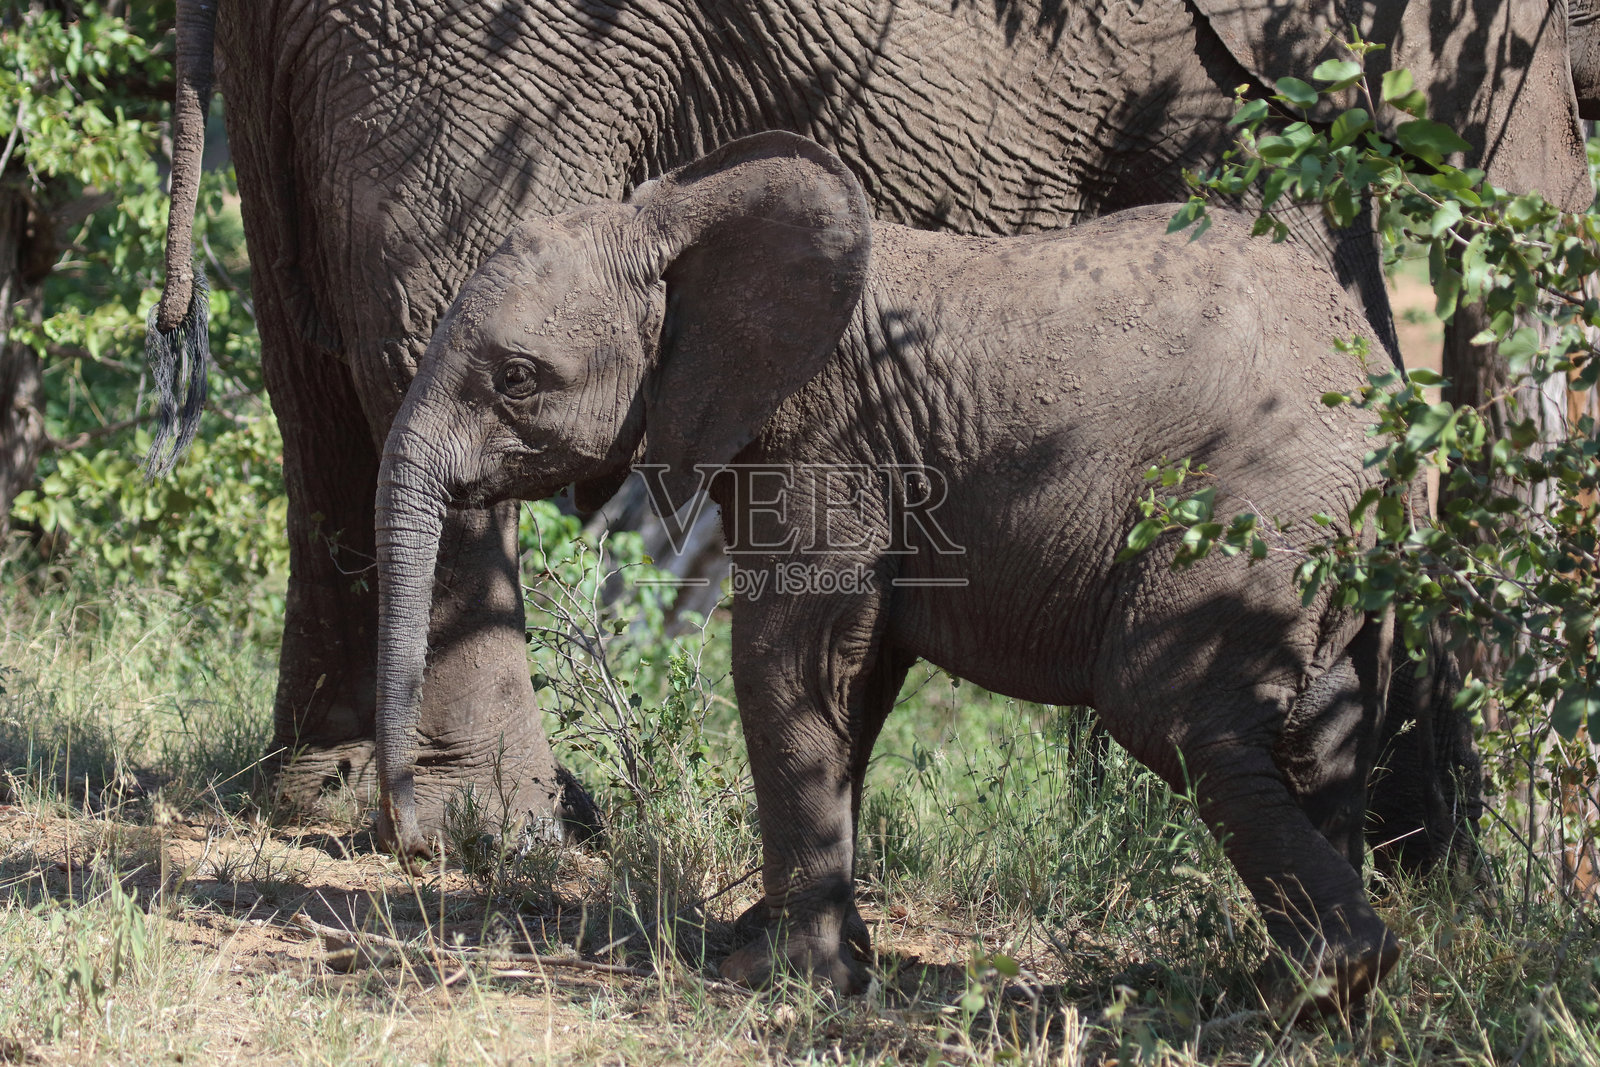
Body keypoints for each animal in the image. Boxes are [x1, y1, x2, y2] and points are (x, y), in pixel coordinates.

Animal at [149, 0, 1589, 842]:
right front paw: (1416, 838)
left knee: (312, 359)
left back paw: (334, 794)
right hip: (472, 46)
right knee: (403, 317)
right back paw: (496, 828)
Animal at [372, 130, 1443, 1010]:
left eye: (517, 378)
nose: (414, 840)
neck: (678, 215)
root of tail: (1396, 418)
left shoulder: (830, 438)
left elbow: (785, 663)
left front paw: (785, 979)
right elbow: (858, 678)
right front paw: (814, 952)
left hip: (1253, 510)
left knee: (1169, 707)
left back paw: (1313, 987)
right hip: (1329, 546)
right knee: (1323, 729)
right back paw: (1300, 986)